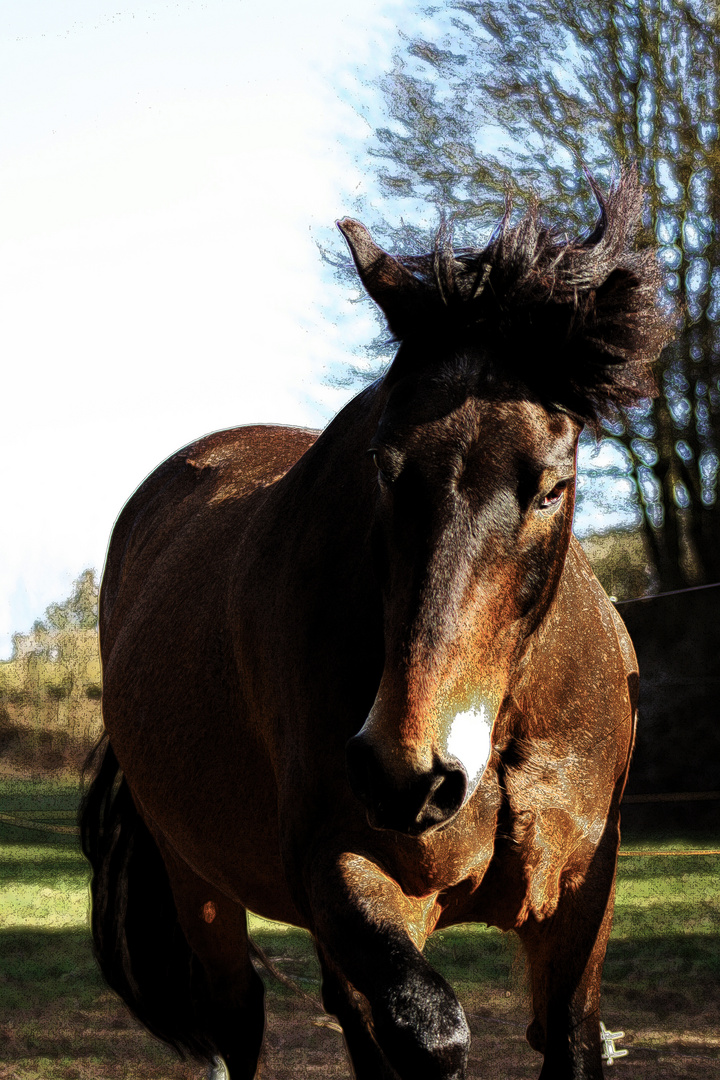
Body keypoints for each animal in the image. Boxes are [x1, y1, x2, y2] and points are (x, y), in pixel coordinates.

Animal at [81, 170, 673, 1080]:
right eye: (384, 466)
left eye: (552, 485)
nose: (409, 775)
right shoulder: (347, 873)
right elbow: (429, 1033)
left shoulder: (579, 902)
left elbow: (569, 1038)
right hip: (200, 885)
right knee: (243, 1019)